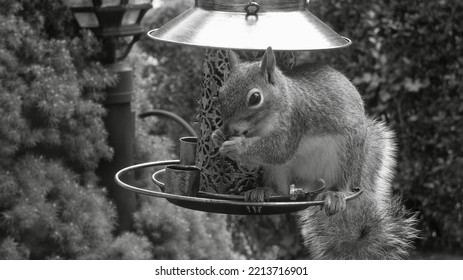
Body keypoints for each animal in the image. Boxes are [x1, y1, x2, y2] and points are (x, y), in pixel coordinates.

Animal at [214, 47, 420, 260]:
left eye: (255, 98)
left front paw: (235, 146)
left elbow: (279, 150)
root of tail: (308, 181)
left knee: (340, 184)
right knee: (281, 189)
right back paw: (263, 191)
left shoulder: (295, 121)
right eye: (220, 92)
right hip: (278, 172)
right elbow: (253, 163)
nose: (228, 129)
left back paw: (336, 195)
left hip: (345, 156)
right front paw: (218, 136)